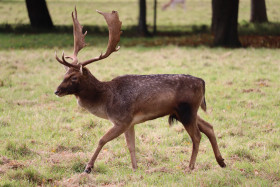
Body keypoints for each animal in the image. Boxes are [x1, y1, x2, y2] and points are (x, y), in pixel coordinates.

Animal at [54, 7, 225, 174]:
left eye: (74, 77)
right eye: (64, 74)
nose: (57, 91)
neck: (106, 100)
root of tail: (202, 82)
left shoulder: (122, 119)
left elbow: (102, 140)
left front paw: (88, 167)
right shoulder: (130, 123)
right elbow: (131, 145)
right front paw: (135, 168)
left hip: (186, 110)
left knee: (197, 136)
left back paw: (190, 167)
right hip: (185, 111)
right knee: (209, 127)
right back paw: (221, 162)